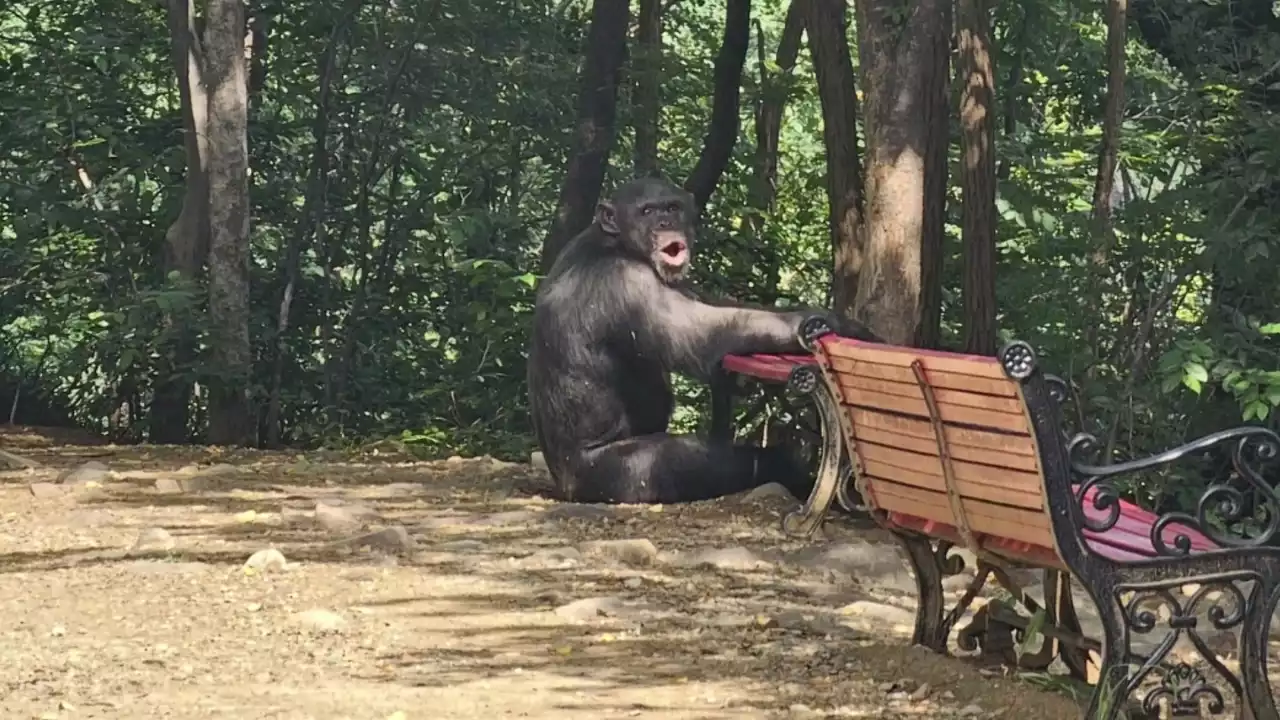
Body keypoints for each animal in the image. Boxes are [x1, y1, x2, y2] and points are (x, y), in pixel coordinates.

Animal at [524, 175, 875, 502]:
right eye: (647, 211)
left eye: (672, 208)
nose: (665, 223)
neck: (616, 243)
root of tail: (563, 484)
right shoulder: (627, 282)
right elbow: (705, 334)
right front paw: (828, 324)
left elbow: (717, 306)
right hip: (615, 475)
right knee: (690, 461)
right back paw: (784, 467)